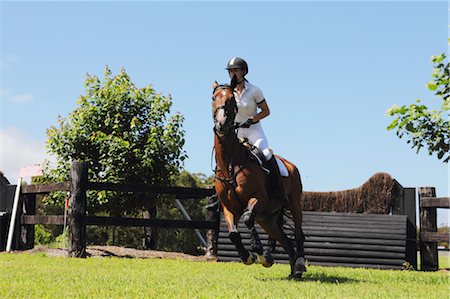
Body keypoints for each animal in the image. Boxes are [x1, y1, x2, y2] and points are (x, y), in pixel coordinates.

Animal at [212, 78, 306, 280]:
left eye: (232, 100)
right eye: (213, 98)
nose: (221, 125)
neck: (230, 164)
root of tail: (291, 165)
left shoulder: (258, 198)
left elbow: (248, 218)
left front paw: (261, 255)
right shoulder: (229, 208)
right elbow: (233, 234)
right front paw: (248, 257)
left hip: (294, 204)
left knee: (298, 234)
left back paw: (300, 266)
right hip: (267, 219)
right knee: (286, 241)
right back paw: (293, 273)